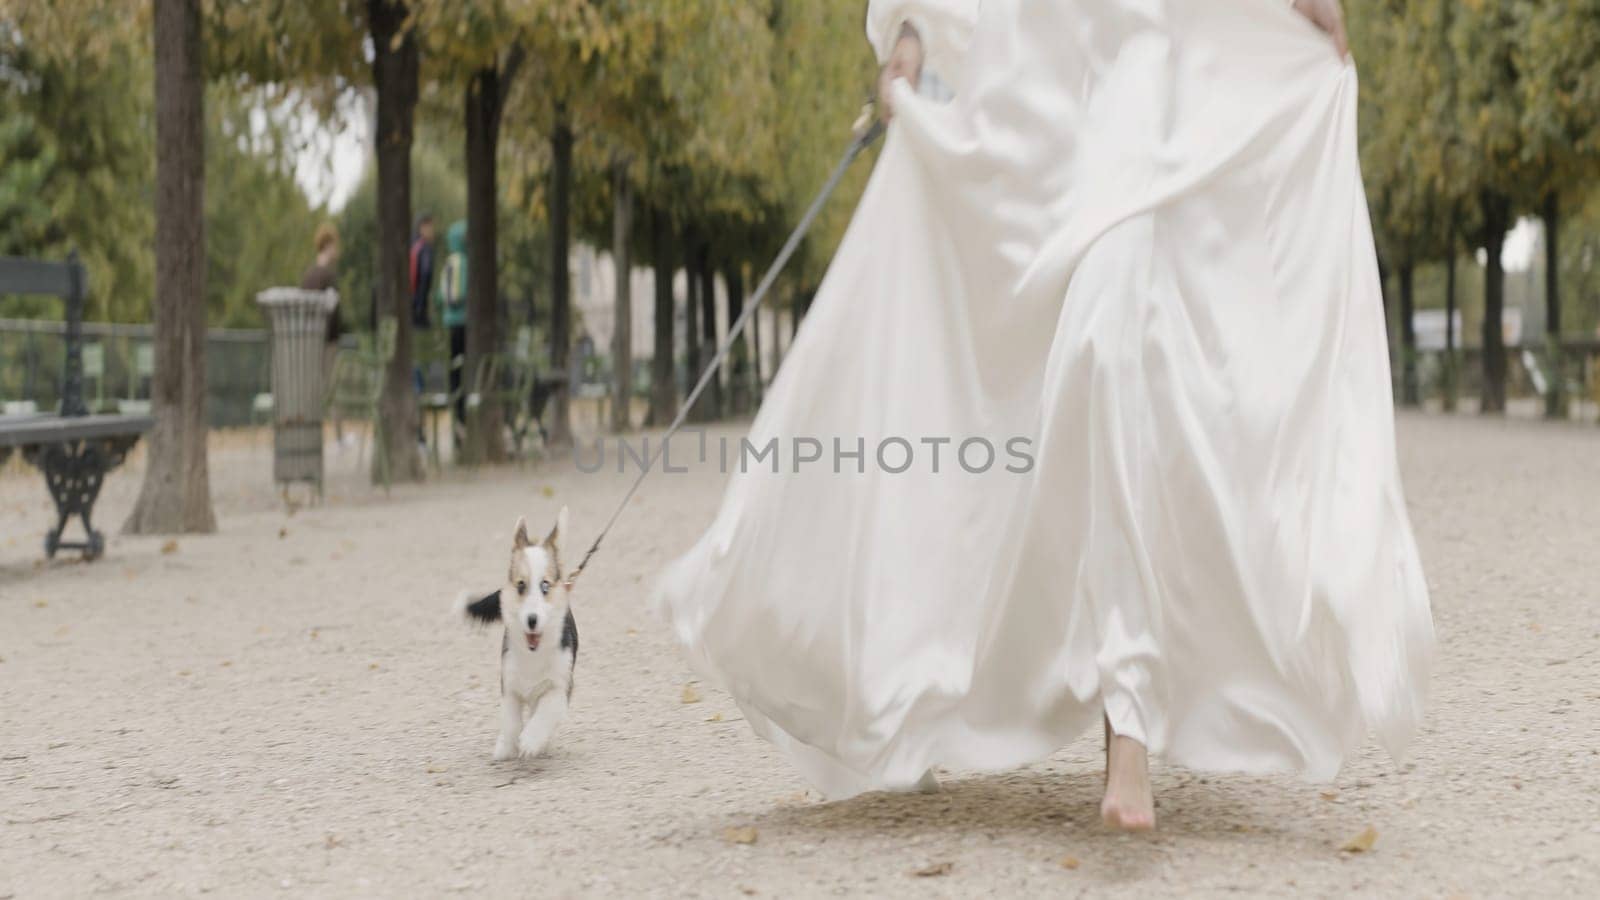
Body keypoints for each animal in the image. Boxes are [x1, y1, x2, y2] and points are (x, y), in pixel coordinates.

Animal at [457, 506, 576, 755]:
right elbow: (510, 718)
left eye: (545, 586)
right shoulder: (509, 684)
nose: (532, 620)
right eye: (521, 585)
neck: (533, 654)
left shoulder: (560, 687)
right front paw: (507, 745)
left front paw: (531, 740)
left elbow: (546, 711)